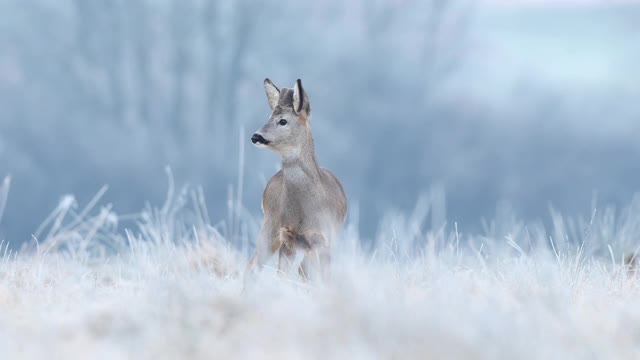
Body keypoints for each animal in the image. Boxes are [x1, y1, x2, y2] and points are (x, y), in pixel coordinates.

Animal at [246, 79, 348, 282]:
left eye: (283, 120)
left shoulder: (325, 237)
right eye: (269, 117)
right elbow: (282, 275)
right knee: (253, 265)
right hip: (269, 225)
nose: (255, 136)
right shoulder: (287, 234)